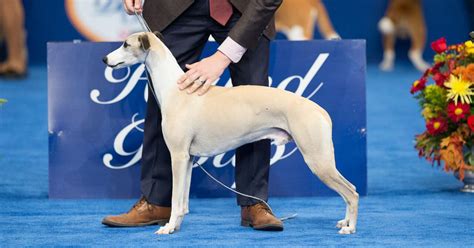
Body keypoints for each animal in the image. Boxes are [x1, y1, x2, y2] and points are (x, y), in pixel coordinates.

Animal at [102, 32, 358, 235]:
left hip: (318, 160)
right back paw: (344, 222)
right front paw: (177, 225)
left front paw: (168, 227)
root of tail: (320, 110)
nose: (104, 59)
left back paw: (350, 228)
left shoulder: (178, 155)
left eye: (125, 44)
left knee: (351, 193)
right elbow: (182, 201)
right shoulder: (188, 158)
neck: (176, 89)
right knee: (349, 191)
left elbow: (175, 199)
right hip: (322, 160)